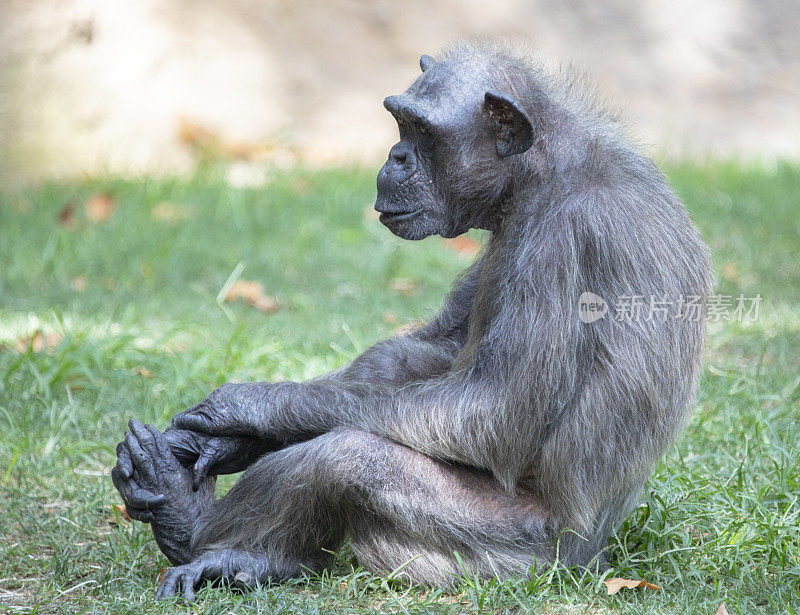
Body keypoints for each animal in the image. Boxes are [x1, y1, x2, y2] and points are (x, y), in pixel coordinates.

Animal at [112, 41, 712, 600]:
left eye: (421, 129)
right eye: (400, 122)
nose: (396, 154)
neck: (535, 174)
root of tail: (599, 557)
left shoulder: (561, 242)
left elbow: (497, 406)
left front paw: (243, 409)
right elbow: (441, 345)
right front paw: (223, 442)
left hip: (514, 556)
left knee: (348, 458)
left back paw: (201, 534)